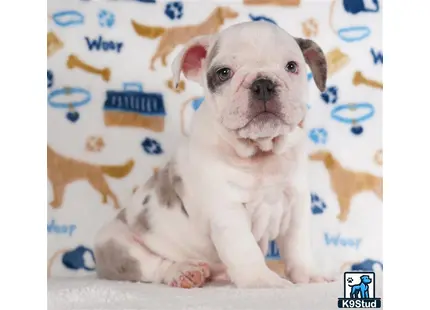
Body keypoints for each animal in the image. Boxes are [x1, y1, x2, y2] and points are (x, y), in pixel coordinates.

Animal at [95, 21, 330, 288]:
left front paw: (309, 275)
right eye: (223, 73)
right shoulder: (227, 209)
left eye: (291, 66)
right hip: (115, 242)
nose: (262, 84)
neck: (261, 153)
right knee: (152, 266)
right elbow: (245, 248)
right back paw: (183, 272)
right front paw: (262, 281)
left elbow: (297, 245)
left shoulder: (296, 203)